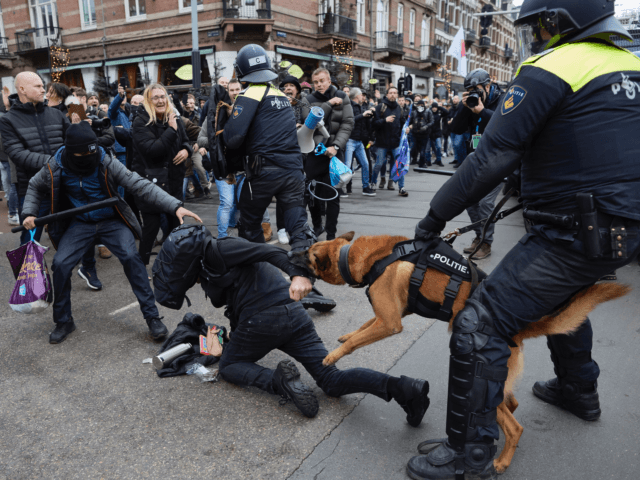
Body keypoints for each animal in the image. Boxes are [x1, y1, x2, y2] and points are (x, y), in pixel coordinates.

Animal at [290, 232, 632, 472]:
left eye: (306, 253)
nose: (289, 250)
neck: (361, 255)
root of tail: (518, 329)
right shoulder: (387, 316)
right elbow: (361, 327)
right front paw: (347, 335)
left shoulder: (390, 322)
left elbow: (357, 339)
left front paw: (333, 357)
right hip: (503, 386)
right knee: (512, 404)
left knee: (515, 427)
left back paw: (501, 461)